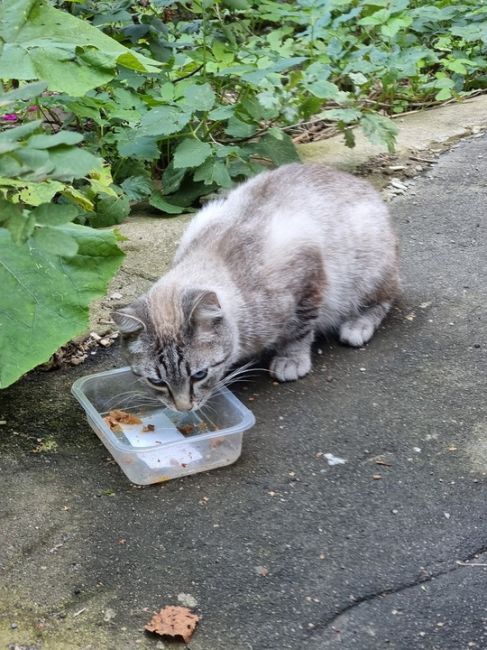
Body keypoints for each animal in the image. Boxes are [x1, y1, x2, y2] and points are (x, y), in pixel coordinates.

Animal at [113, 165, 400, 412]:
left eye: (199, 375)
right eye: (157, 382)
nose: (183, 409)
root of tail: (357, 181)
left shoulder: (308, 282)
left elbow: (299, 331)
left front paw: (291, 360)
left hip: (368, 272)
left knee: (386, 298)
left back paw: (357, 325)